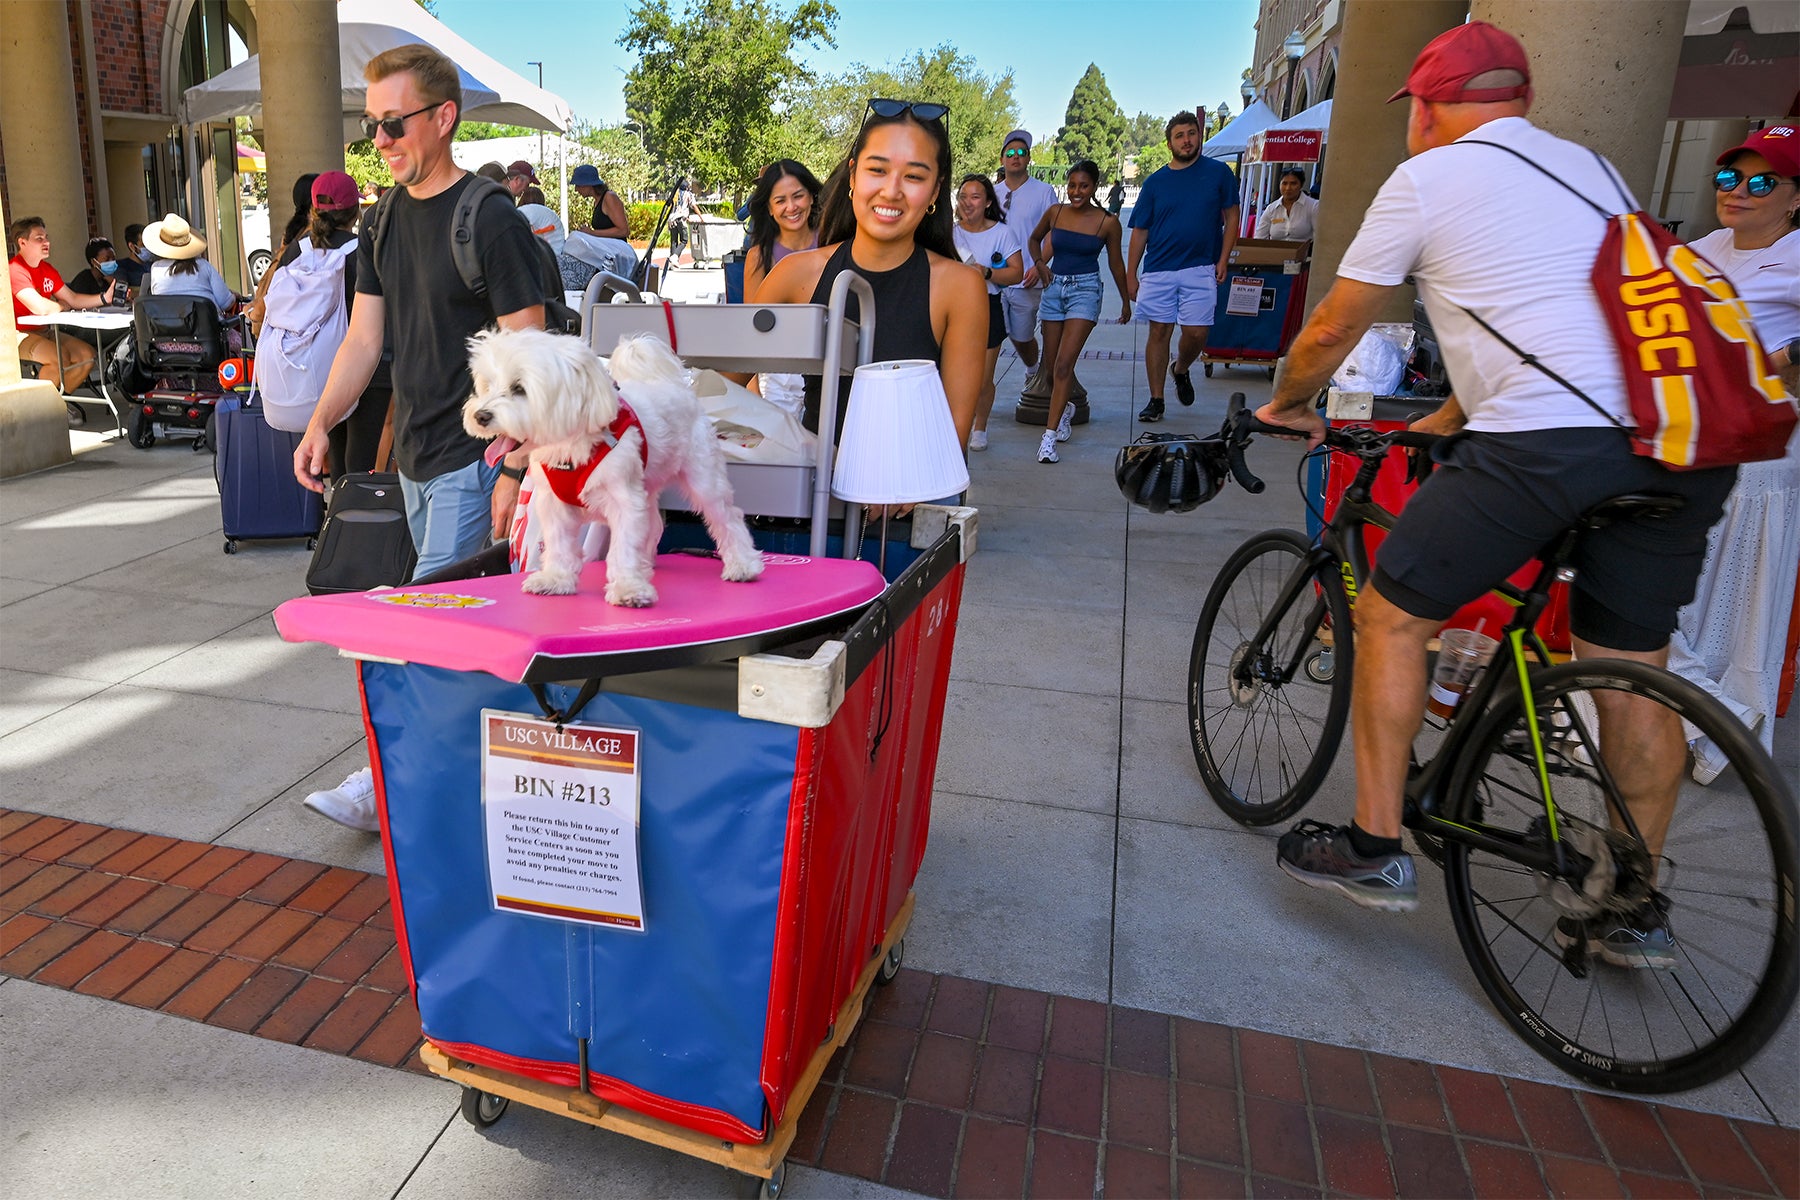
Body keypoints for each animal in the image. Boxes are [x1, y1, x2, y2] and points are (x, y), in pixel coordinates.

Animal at [464, 325, 759, 604]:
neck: (570, 449)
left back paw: (743, 564)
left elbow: (624, 546)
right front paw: (556, 579)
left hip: (703, 476)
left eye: (519, 388)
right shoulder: (554, 504)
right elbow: (559, 544)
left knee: (727, 516)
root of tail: (677, 387)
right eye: (488, 385)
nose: (480, 415)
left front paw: (629, 588)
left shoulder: (624, 500)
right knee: (654, 524)